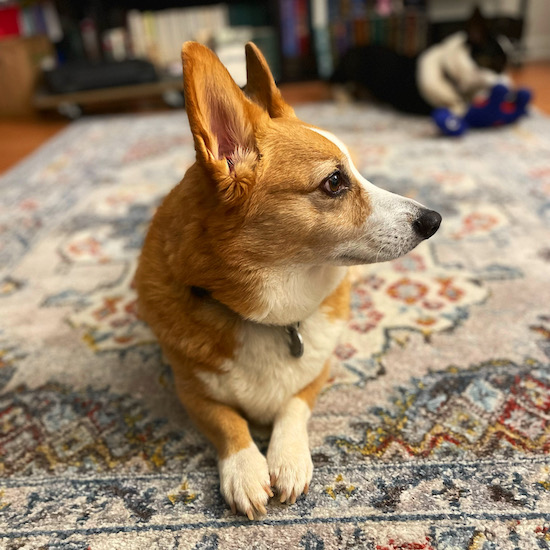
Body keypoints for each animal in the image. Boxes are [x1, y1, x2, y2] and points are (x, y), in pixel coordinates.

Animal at [136, 42, 442, 520]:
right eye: (334, 181)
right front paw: (245, 471)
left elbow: (293, 405)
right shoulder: (191, 391)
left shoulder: (318, 372)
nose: (434, 220)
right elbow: (229, 422)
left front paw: (288, 460)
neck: (270, 315)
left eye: (357, 172)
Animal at [330, 7, 512, 115]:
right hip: (350, 68)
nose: (511, 92)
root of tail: (351, 50)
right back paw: (344, 99)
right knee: (338, 86)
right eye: (496, 63)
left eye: (506, 64)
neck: (446, 72)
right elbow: (460, 109)